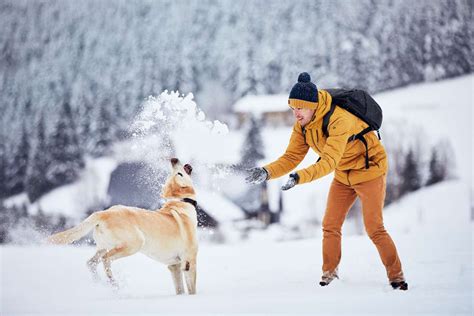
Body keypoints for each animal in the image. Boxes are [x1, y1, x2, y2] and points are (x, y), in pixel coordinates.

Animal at [46, 159, 198, 296]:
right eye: (178, 173)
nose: (174, 160)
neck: (180, 202)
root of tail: (104, 212)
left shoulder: (174, 266)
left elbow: (180, 290)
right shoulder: (189, 261)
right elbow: (192, 289)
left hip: (104, 246)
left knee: (91, 262)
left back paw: (99, 283)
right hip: (134, 243)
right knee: (106, 259)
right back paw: (114, 285)